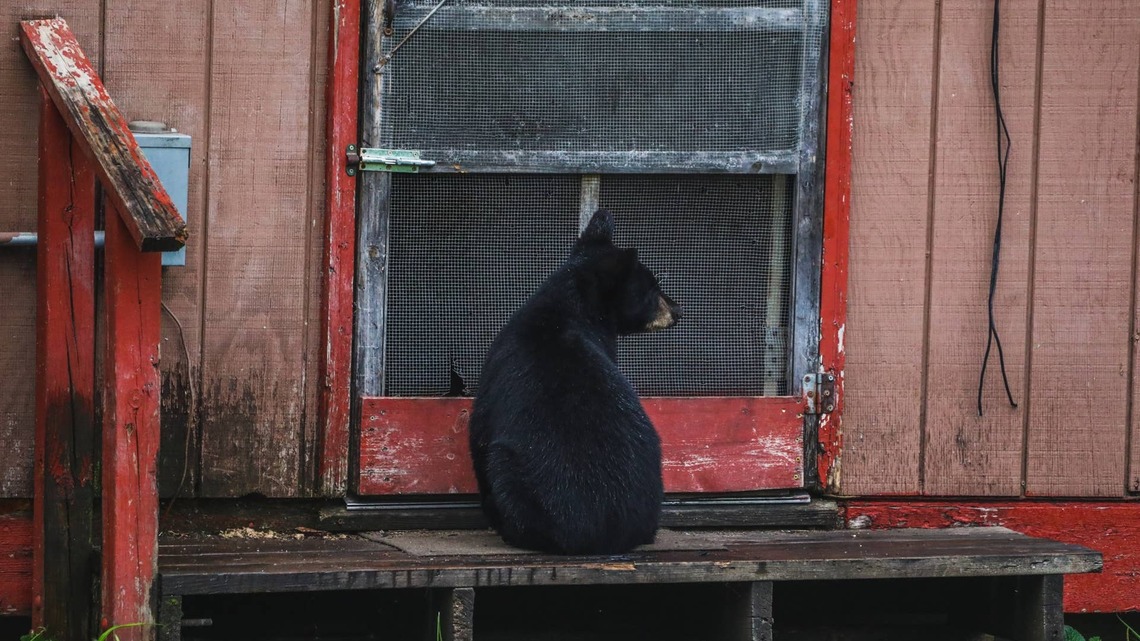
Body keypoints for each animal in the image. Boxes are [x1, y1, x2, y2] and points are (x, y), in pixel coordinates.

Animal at [468, 208, 681, 555]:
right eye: (651, 290)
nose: (678, 310)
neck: (569, 307)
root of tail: (608, 533)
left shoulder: (495, 370)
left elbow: (480, 433)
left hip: (518, 476)